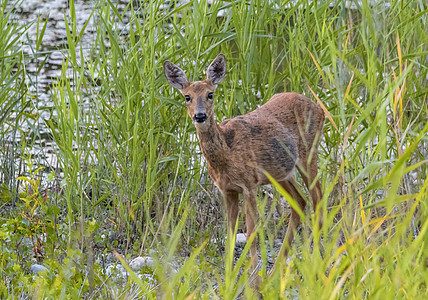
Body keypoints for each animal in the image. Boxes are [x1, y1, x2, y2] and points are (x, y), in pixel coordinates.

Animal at [164, 54, 324, 286]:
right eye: (187, 97)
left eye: (210, 94)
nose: (200, 116)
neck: (226, 155)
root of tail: (319, 108)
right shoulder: (228, 190)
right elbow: (230, 235)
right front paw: (229, 280)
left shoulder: (249, 185)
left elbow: (252, 234)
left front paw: (254, 282)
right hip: (281, 172)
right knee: (300, 202)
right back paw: (275, 272)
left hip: (308, 154)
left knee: (318, 198)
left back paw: (318, 263)